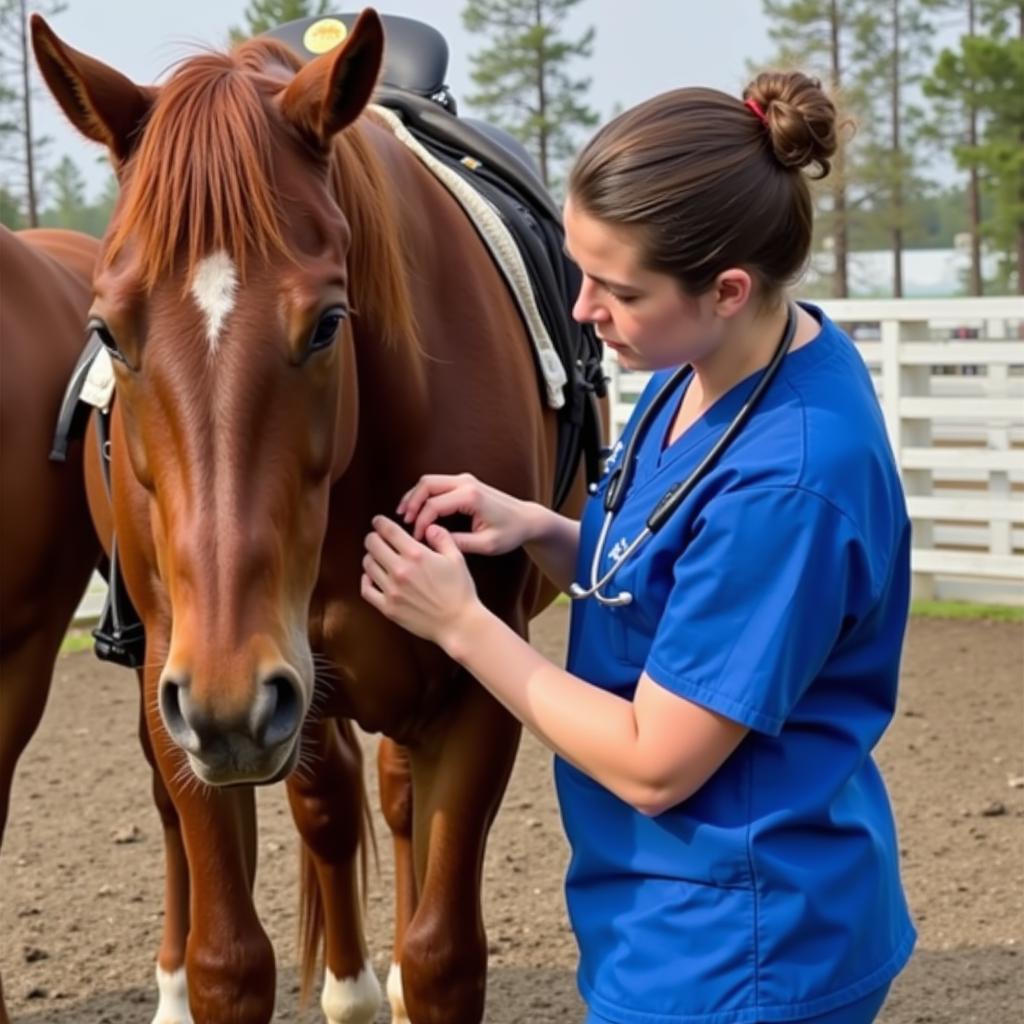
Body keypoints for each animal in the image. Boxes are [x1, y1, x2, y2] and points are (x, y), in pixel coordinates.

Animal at [34, 9, 585, 1024]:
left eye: (330, 322)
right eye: (105, 332)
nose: (229, 701)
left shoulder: (478, 681)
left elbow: (444, 960)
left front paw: (407, 976)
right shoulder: (186, 679)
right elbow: (230, 960)